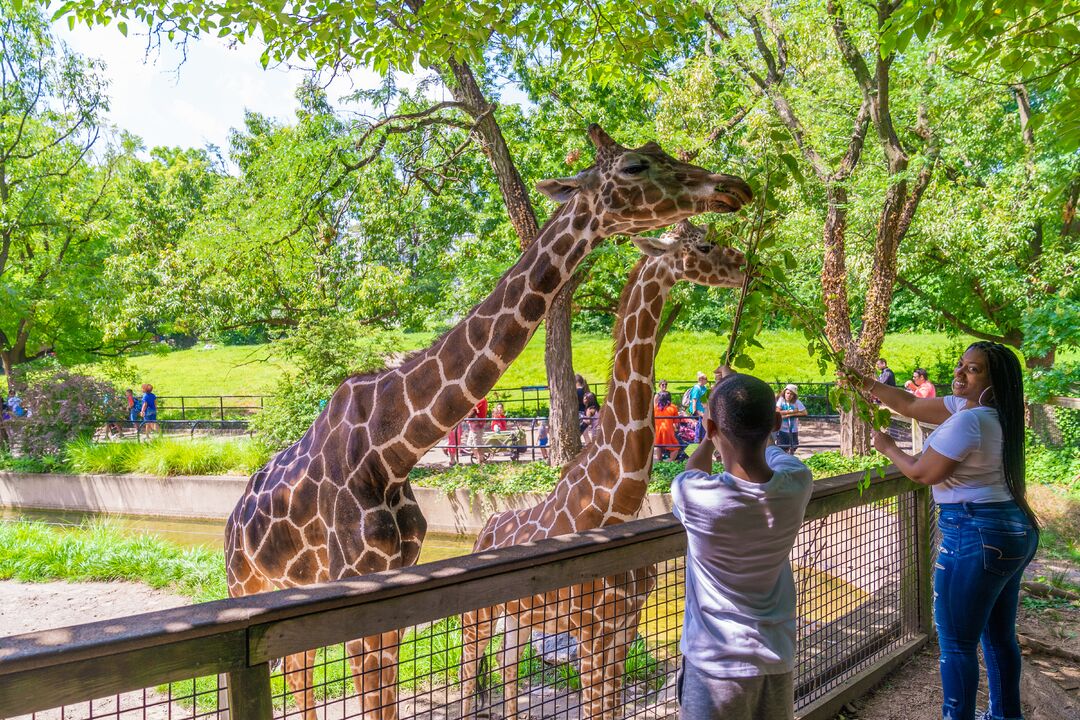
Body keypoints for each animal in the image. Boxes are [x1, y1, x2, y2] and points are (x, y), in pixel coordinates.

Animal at [460, 220, 747, 720]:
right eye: (704, 245)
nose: (743, 263)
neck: (615, 508)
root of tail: (483, 532)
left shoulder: (624, 628)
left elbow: (611, 707)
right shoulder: (589, 630)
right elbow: (596, 708)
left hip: (518, 617)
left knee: (508, 672)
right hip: (478, 619)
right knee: (466, 674)